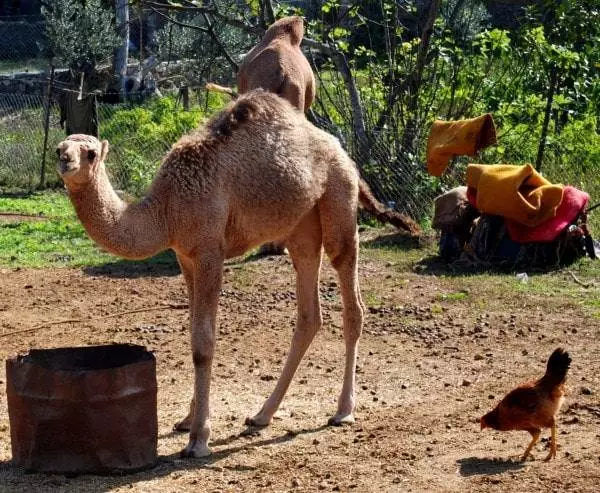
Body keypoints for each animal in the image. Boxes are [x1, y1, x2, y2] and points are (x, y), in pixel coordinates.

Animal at [57, 89, 366, 458]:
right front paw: (187, 420)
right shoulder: (184, 257)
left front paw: (198, 439)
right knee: (309, 313)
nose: (65, 160)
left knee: (351, 300)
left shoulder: (209, 251)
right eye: (61, 147)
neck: (167, 210)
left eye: (90, 153)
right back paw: (262, 414)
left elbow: (203, 342)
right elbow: (192, 331)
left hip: (339, 199)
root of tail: (339, 147)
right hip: (300, 226)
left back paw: (343, 411)